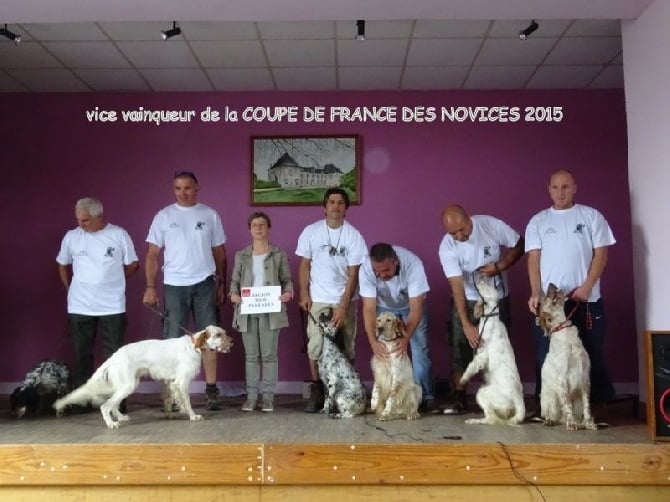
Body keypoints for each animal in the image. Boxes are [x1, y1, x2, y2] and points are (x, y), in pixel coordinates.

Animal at [54, 328, 234, 430]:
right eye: (219, 335)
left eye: (225, 333)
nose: (232, 342)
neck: (193, 346)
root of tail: (114, 356)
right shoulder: (181, 382)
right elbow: (187, 403)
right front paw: (193, 416)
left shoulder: (170, 383)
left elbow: (168, 400)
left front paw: (169, 415)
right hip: (127, 385)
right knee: (105, 406)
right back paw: (112, 424)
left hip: (128, 385)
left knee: (113, 404)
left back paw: (121, 418)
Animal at [460, 276, 528, 426]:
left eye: (486, 287)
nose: (480, 276)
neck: (490, 318)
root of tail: (519, 400)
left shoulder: (482, 355)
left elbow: (470, 367)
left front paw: (463, 380)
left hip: (483, 393)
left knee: (491, 418)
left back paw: (474, 420)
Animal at [540, 284, 600, 430]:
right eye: (545, 298)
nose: (551, 284)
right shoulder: (562, 378)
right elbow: (567, 405)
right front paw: (571, 423)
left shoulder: (584, 377)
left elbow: (587, 406)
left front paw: (589, 423)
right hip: (550, 396)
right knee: (551, 414)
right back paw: (550, 420)